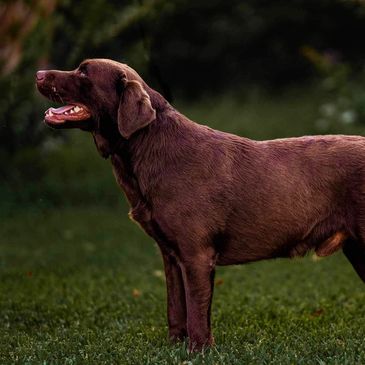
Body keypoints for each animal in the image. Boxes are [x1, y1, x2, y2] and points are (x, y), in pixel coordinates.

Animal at [36, 59, 364, 350]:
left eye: (84, 72)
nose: (38, 73)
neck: (147, 150)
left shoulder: (196, 254)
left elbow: (196, 311)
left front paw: (198, 351)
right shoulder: (170, 255)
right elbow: (175, 307)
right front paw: (175, 347)